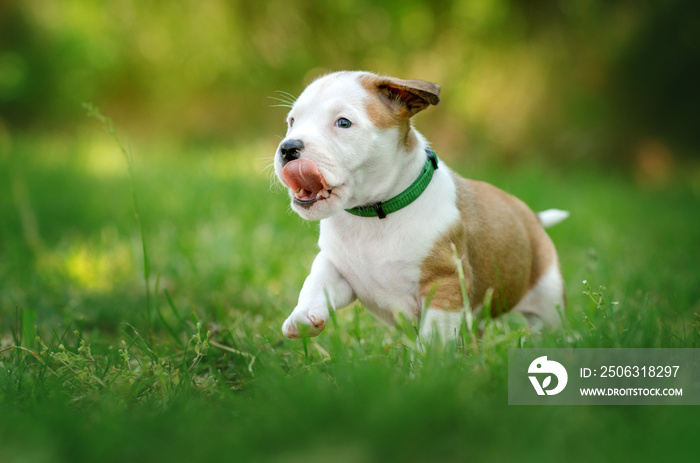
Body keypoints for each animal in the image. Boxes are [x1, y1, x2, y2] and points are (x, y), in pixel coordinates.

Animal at [270, 72, 568, 340]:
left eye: (343, 123)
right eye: (292, 122)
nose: (288, 148)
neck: (375, 213)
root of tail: (532, 218)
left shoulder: (445, 284)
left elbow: (434, 336)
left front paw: (430, 364)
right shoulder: (339, 268)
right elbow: (317, 281)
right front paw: (303, 317)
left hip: (548, 301)